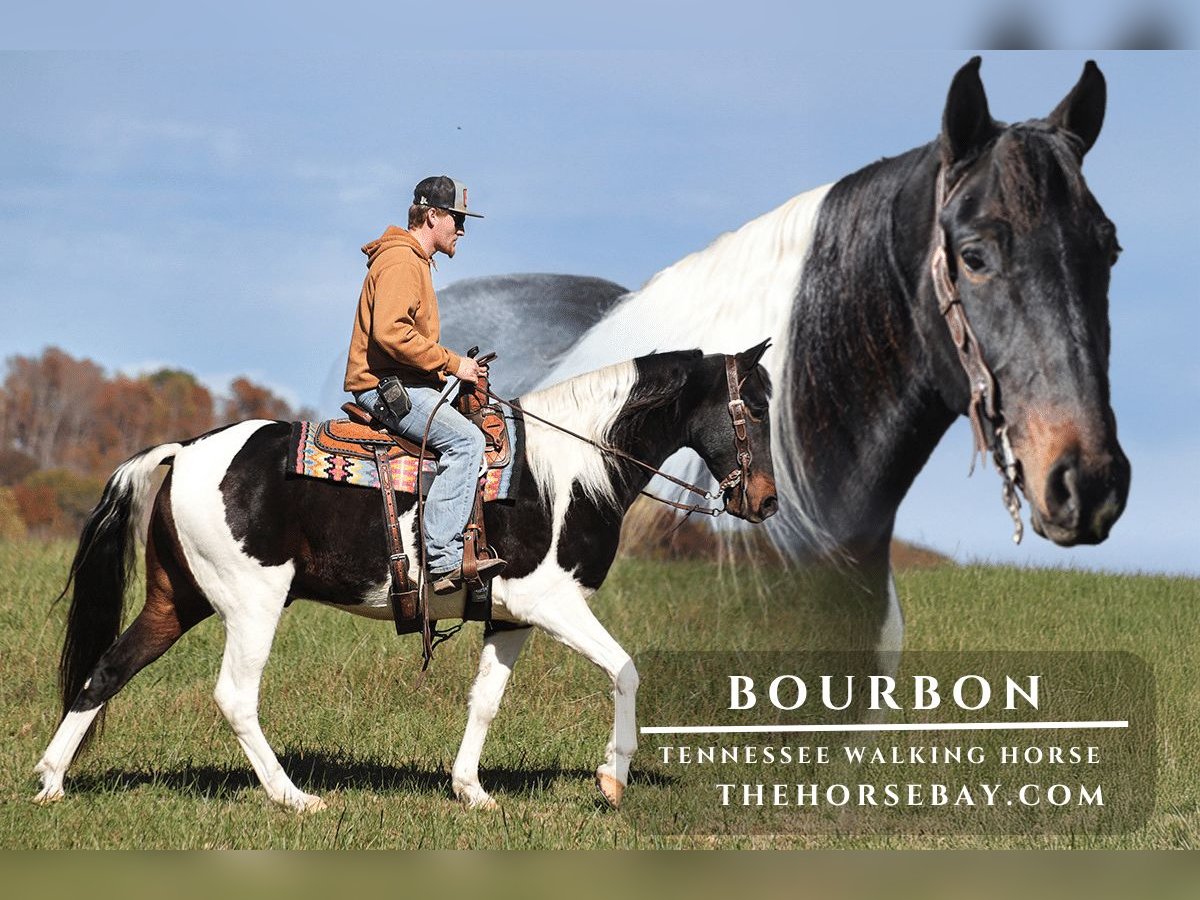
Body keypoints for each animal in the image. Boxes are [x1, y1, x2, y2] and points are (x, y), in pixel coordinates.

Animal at [34, 344, 777, 812]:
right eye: (756, 408)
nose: (765, 502)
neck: (570, 472)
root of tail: (185, 450)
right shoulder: (549, 600)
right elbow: (625, 670)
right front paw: (612, 779)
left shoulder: (508, 615)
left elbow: (485, 702)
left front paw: (470, 790)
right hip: (252, 603)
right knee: (234, 697)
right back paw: (294, 798)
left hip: (176, 599)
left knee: (106, 670)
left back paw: (51, 782)